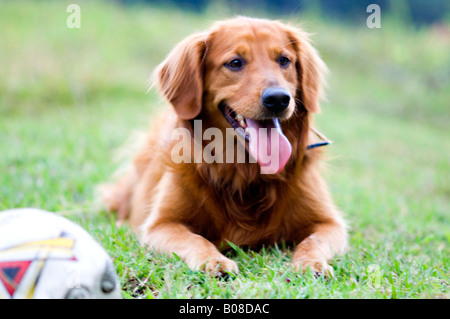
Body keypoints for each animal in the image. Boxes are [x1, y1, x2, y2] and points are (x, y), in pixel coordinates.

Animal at [101, 16, 348, 278]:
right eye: (235, 63)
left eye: (284, 60)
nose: (278, 99)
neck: (245, 172)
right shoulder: (162, 224)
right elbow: (196, 239)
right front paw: (214, 261)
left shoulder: (330, 223)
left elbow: (313, 241)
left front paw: (312, 263)